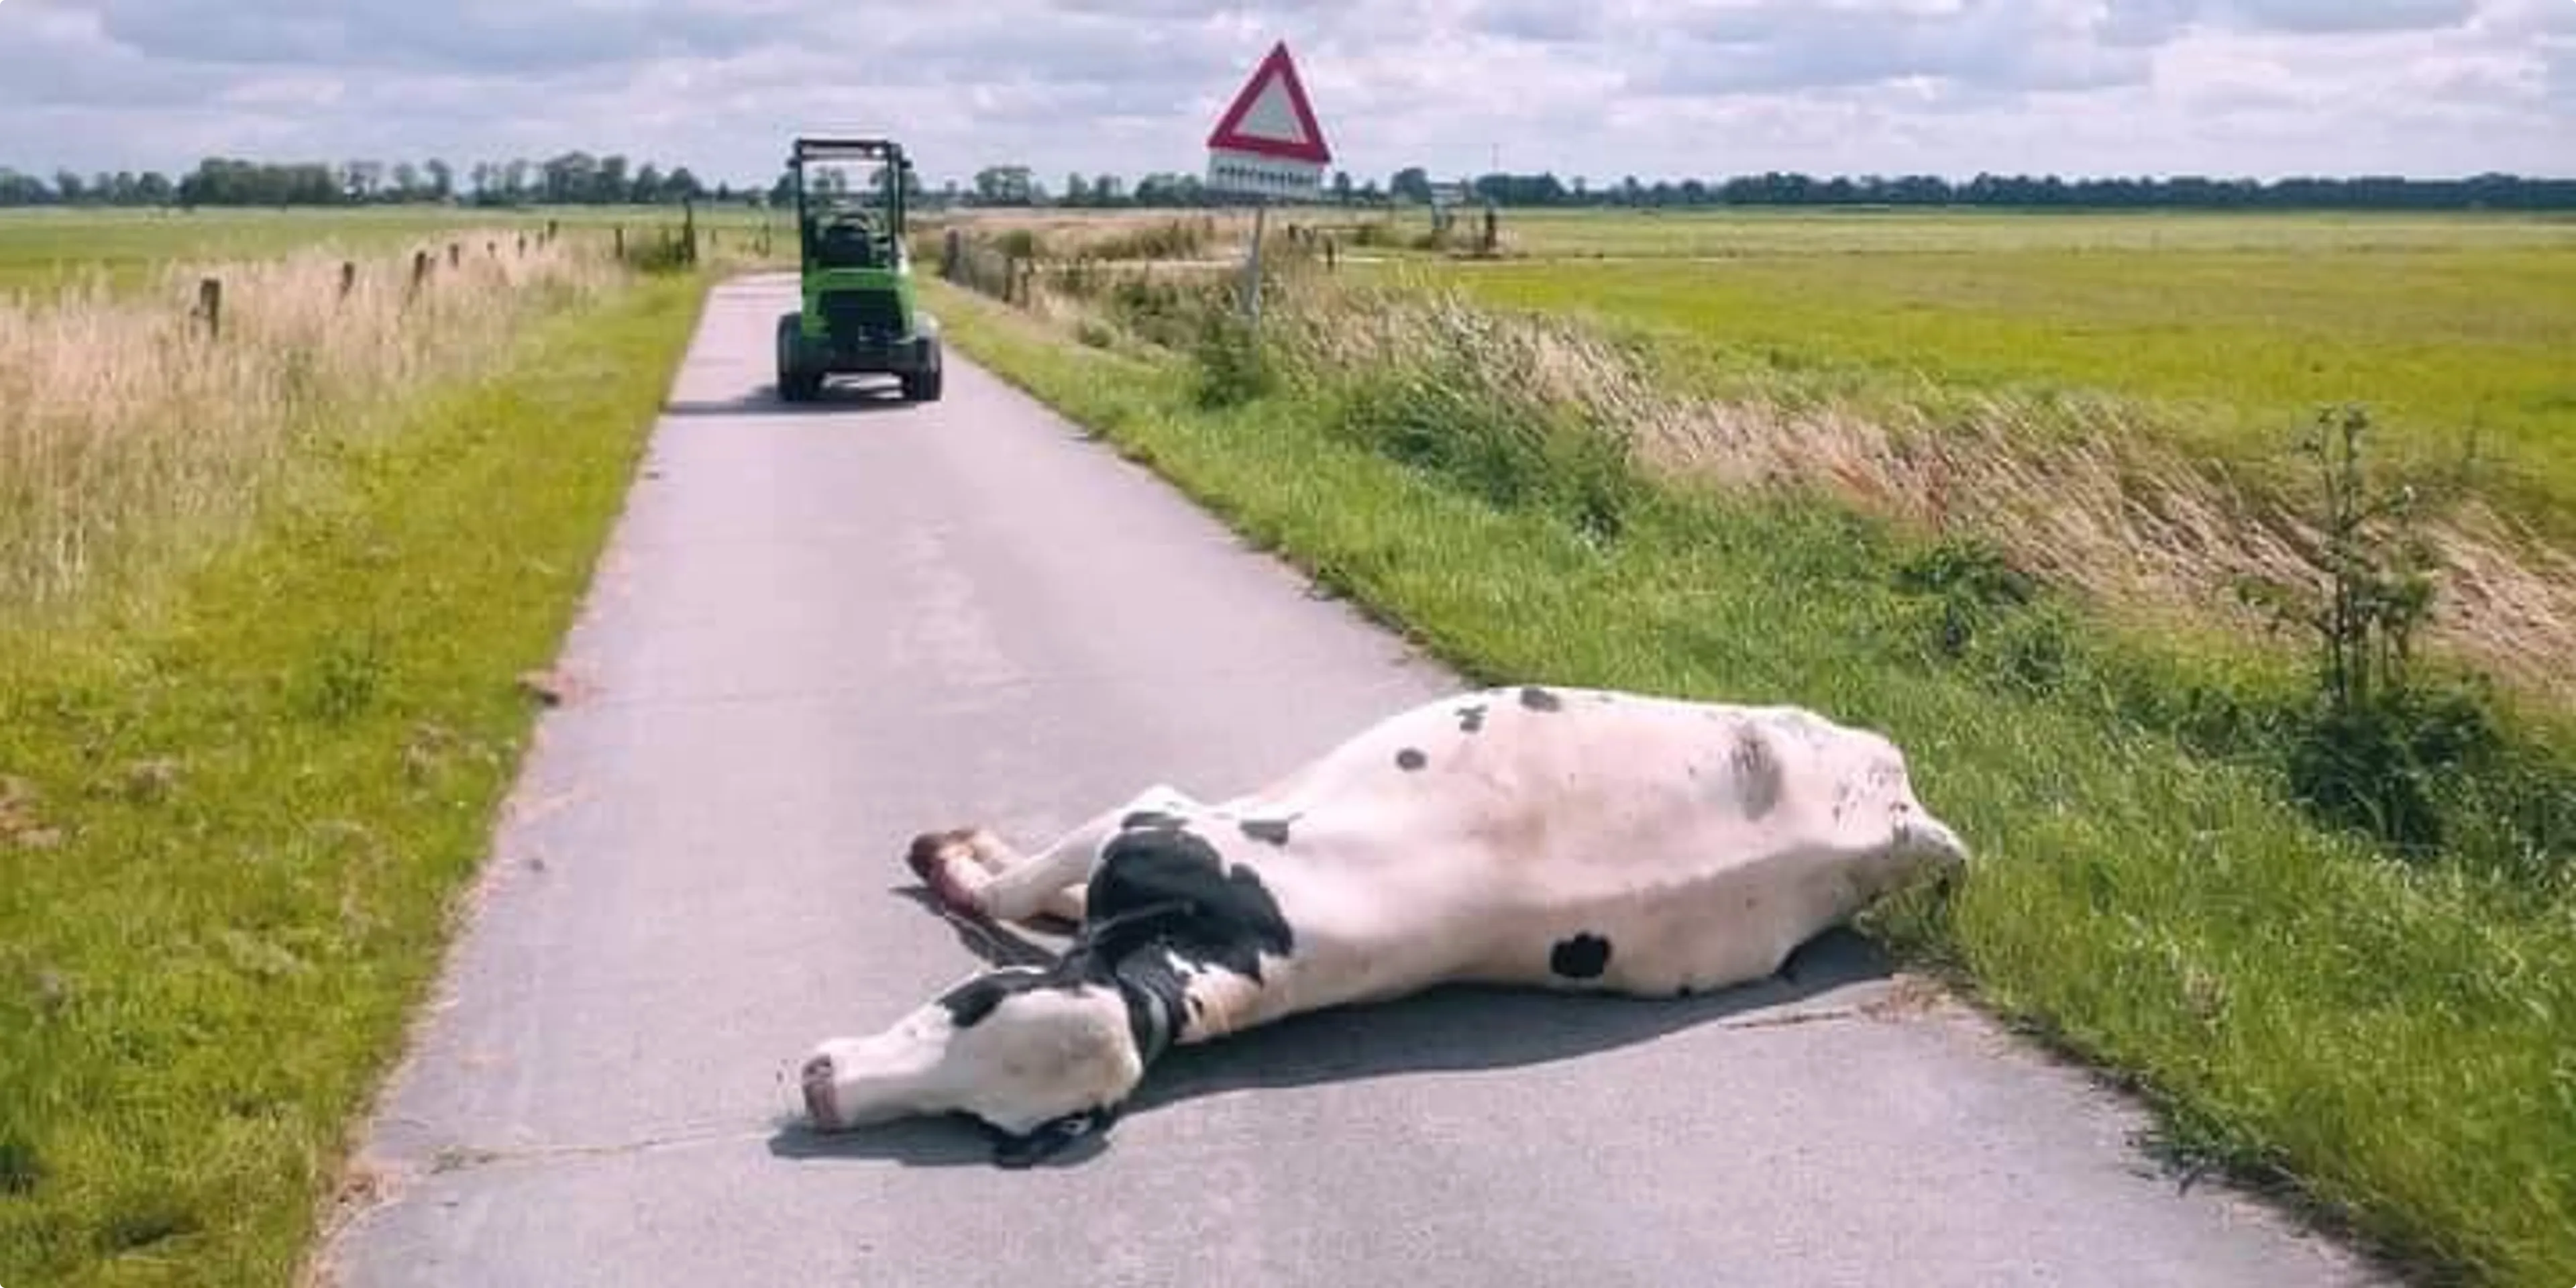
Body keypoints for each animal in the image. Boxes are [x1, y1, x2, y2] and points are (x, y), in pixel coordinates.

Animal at [794, 683, 1973, 1167]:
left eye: (983, 1114)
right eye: (963, 1006)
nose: (821, 1091)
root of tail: (1910, 817)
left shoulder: (1157, 815)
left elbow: (1010, 894)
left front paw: (957, 860)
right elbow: (1053, 896)